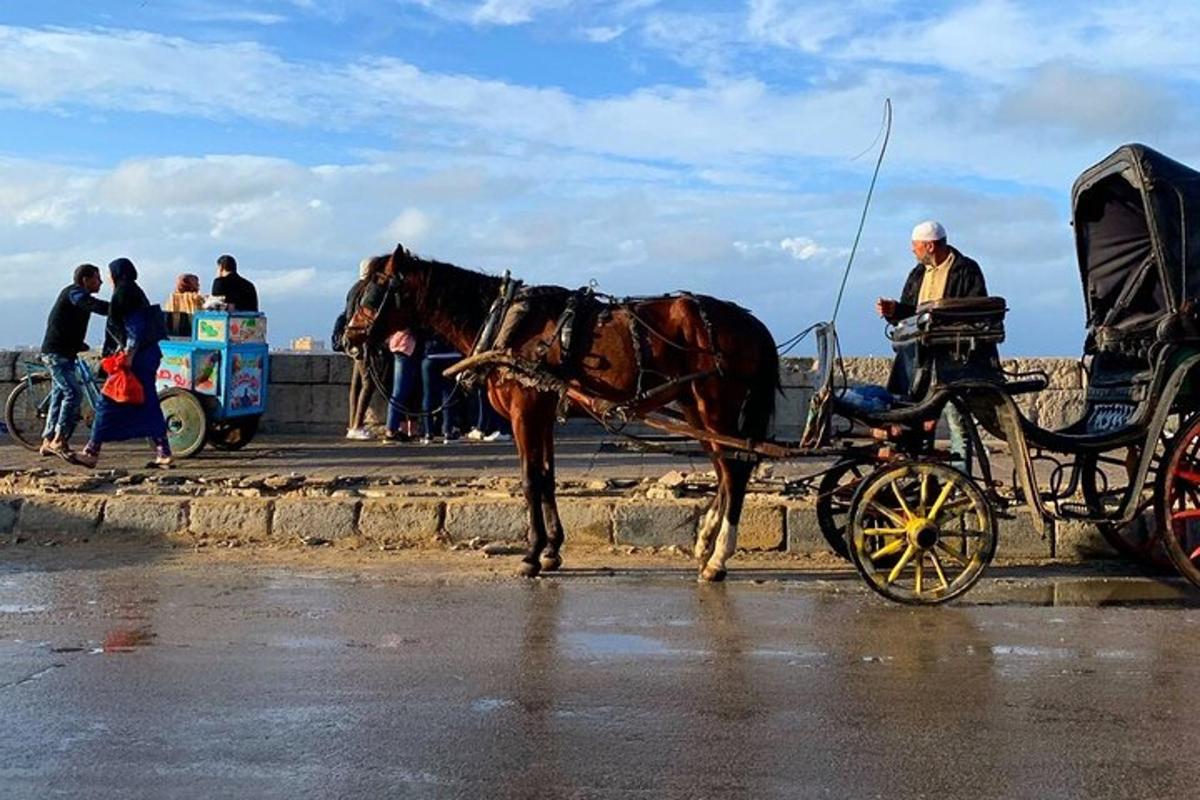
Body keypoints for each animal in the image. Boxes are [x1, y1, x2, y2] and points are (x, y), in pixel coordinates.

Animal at [345, 244, 777, 582]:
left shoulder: (524, 410)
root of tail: (753, 322)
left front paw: (531, 555)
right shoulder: (543, 410)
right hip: (696, 408)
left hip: (716, 403)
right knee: (724, 469)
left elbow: (530, 480)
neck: (505, 322)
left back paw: (718, 558)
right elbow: (548, 477)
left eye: (373, 292)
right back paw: (705, 544)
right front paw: (552, 550)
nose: (348, 340)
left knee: (733, 471)